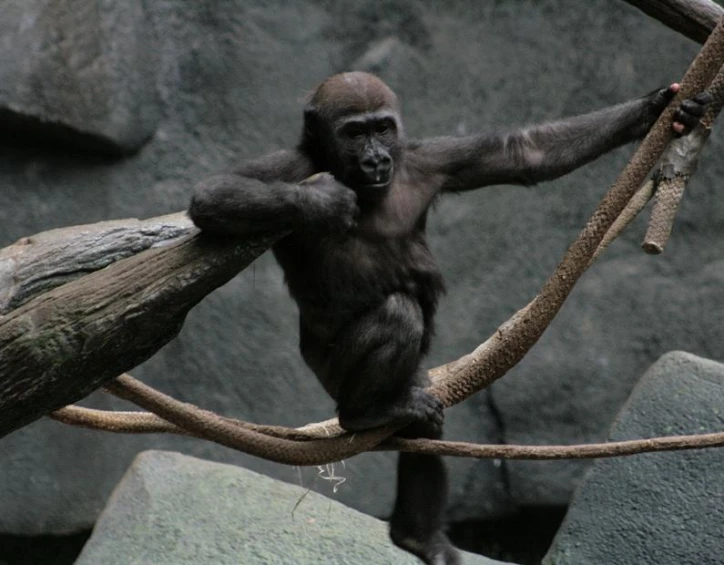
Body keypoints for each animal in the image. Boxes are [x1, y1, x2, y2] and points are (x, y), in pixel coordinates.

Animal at [189, 74, 708, 564]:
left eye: (382, 128)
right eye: (354, 133)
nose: (376, 159)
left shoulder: (428, 161)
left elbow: (526, 153)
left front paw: (660, 106)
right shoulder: (292, 167)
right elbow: (213, 194)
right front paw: (324, 203)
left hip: (413, 379)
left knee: (424, 421)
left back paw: (417, 534)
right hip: (328, 373)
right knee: (397, 318)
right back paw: (364, 414)